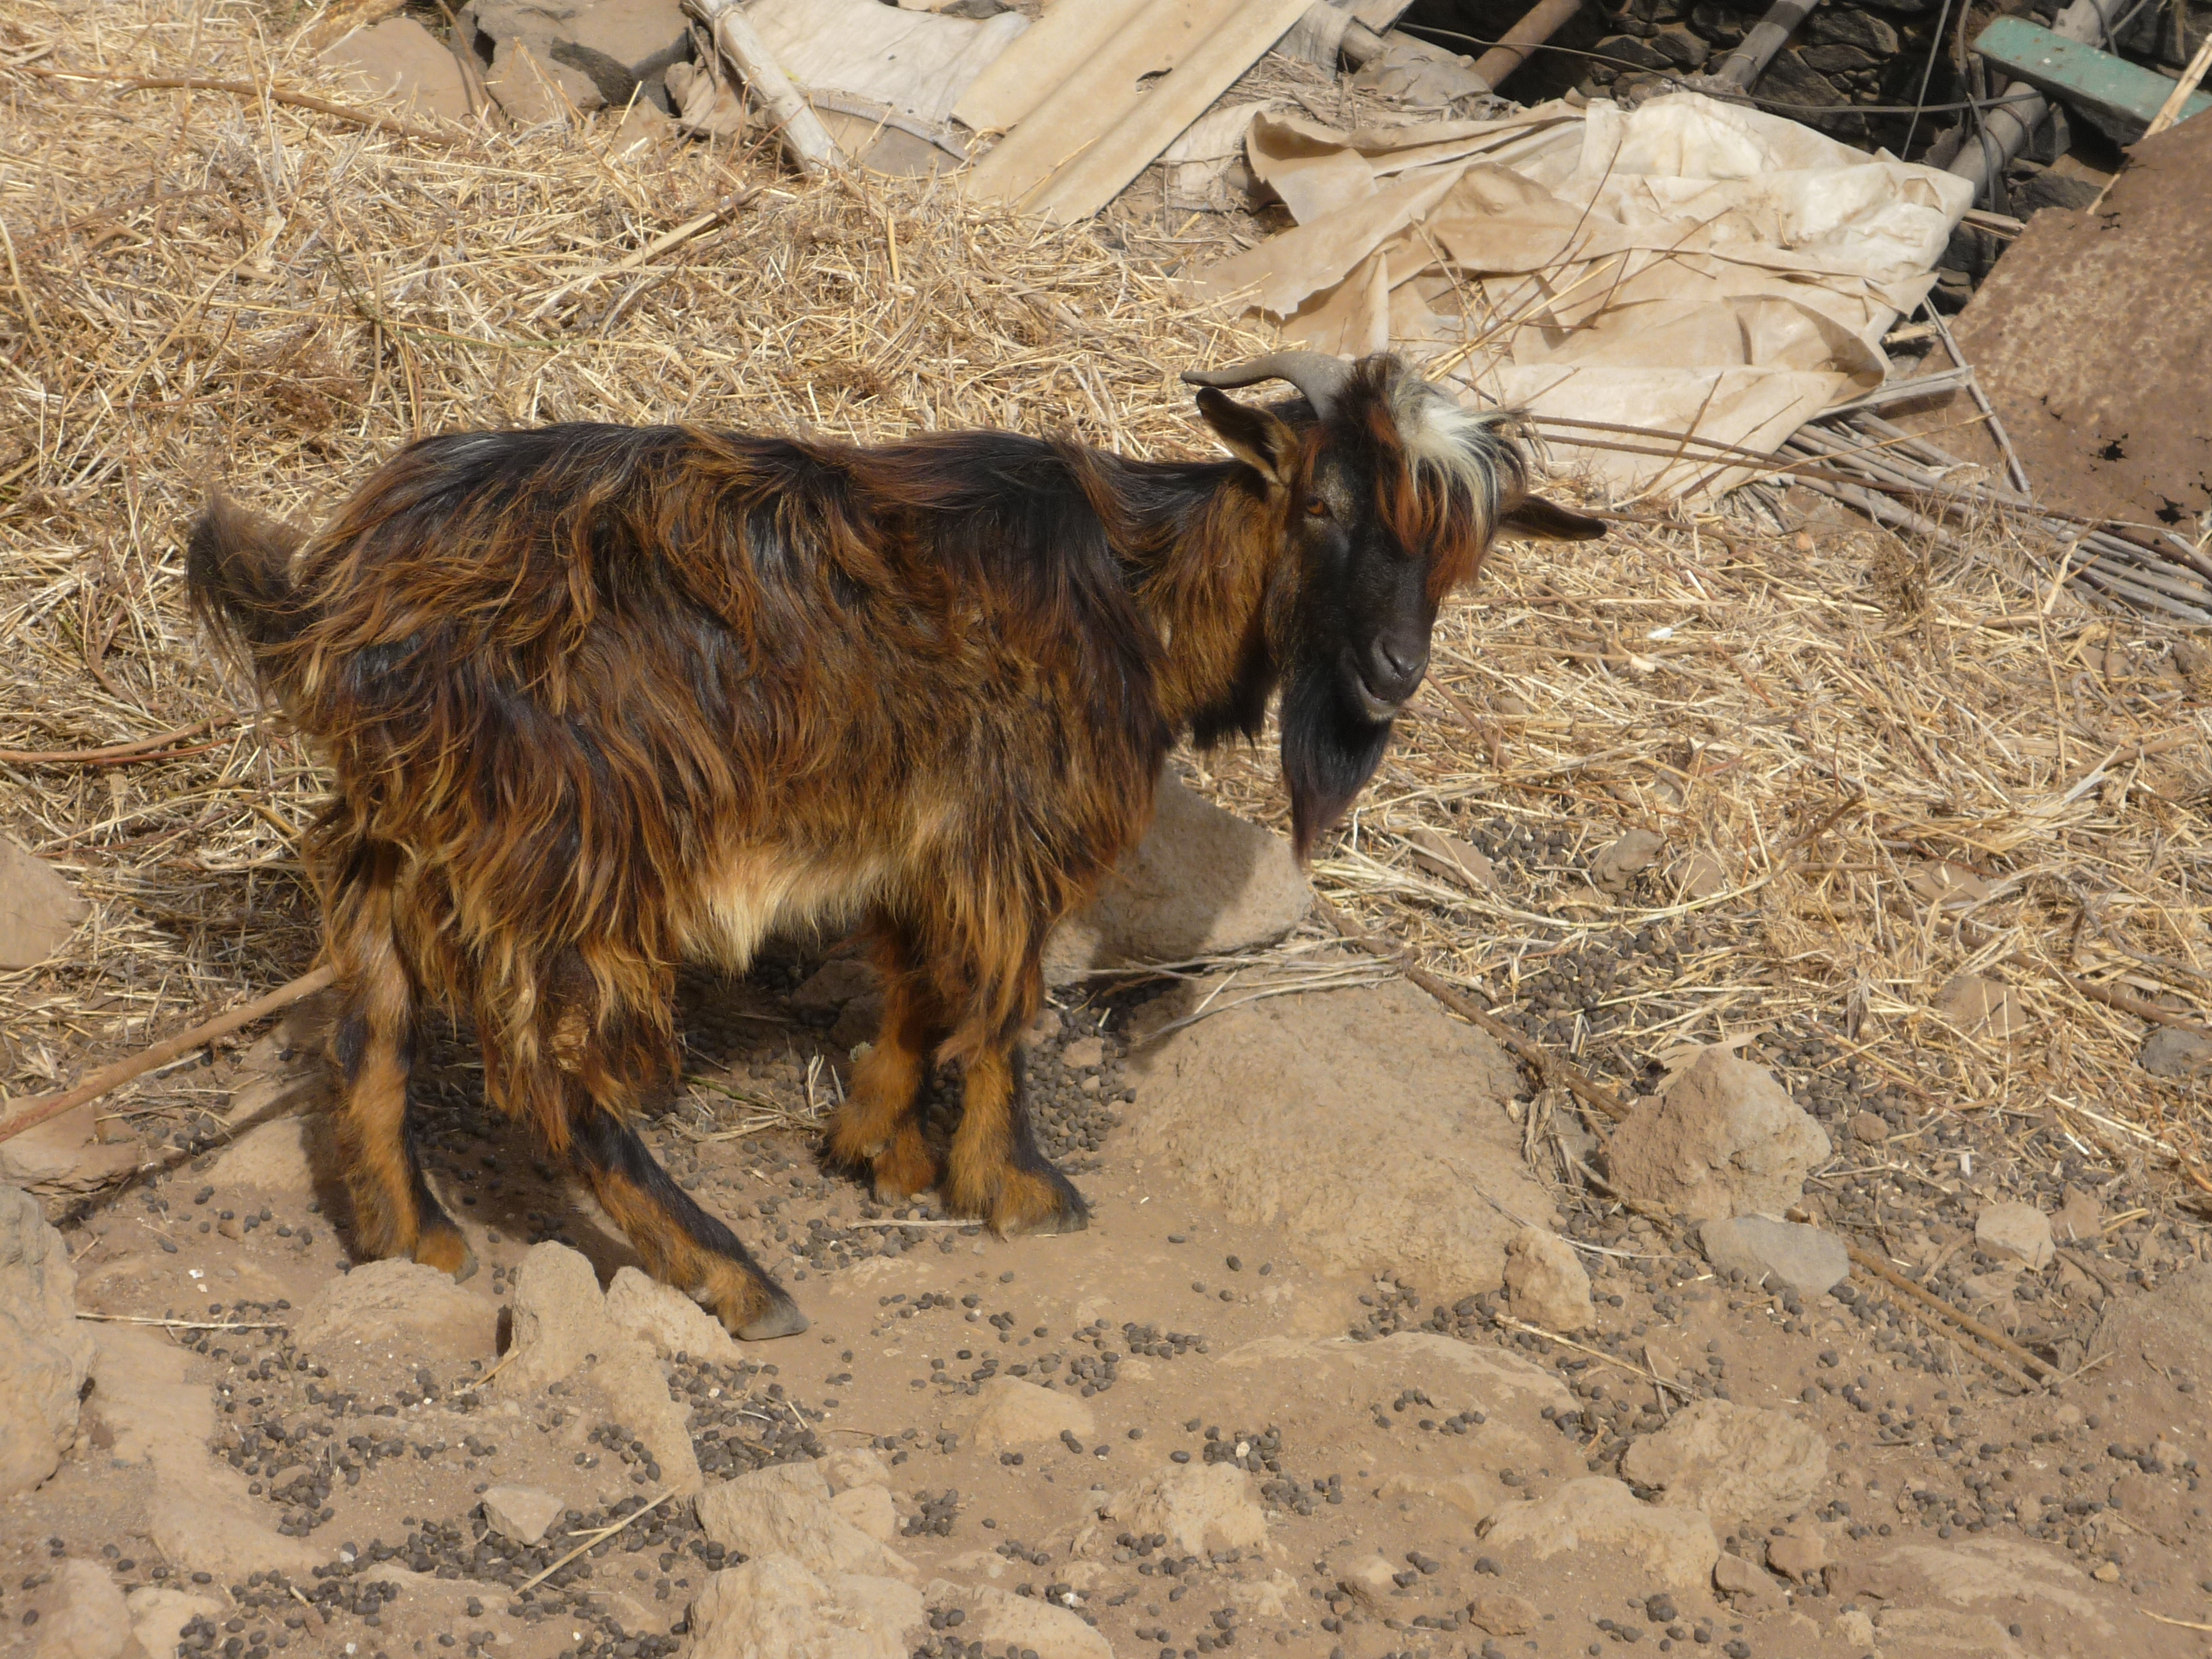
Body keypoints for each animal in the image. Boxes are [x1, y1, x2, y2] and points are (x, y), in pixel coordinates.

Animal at [188, 350, 1602, 1340]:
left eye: (1460, 550)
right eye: (1317, 504)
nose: (1390, 669)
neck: (1134, 589)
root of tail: (349, 589)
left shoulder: (912, 839)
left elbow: (918, 992)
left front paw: (879, 1145)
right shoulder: (1005, 827)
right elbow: (1001, 1008)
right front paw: (1011, 1184)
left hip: (407, 827)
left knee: (368, 1015)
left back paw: (409, 1232)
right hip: (575, 836)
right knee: (547, 1072)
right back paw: (732, 1276)